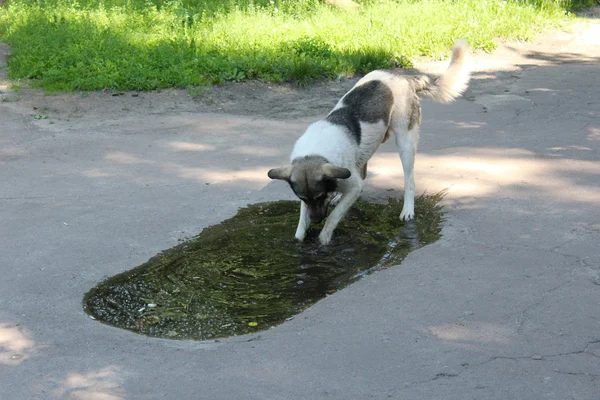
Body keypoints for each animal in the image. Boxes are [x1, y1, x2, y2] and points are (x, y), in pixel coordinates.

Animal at [266, 39, 468, 244]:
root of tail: (403, 77)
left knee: (409, 182)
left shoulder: (354, 187)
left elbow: (332, 218)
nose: (315, 220)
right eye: (303, 198)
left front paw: (323, 239)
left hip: (405, 144)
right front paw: (301, 236)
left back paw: (407, 210)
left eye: (320, 196)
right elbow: (300, 227)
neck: (316, 153)